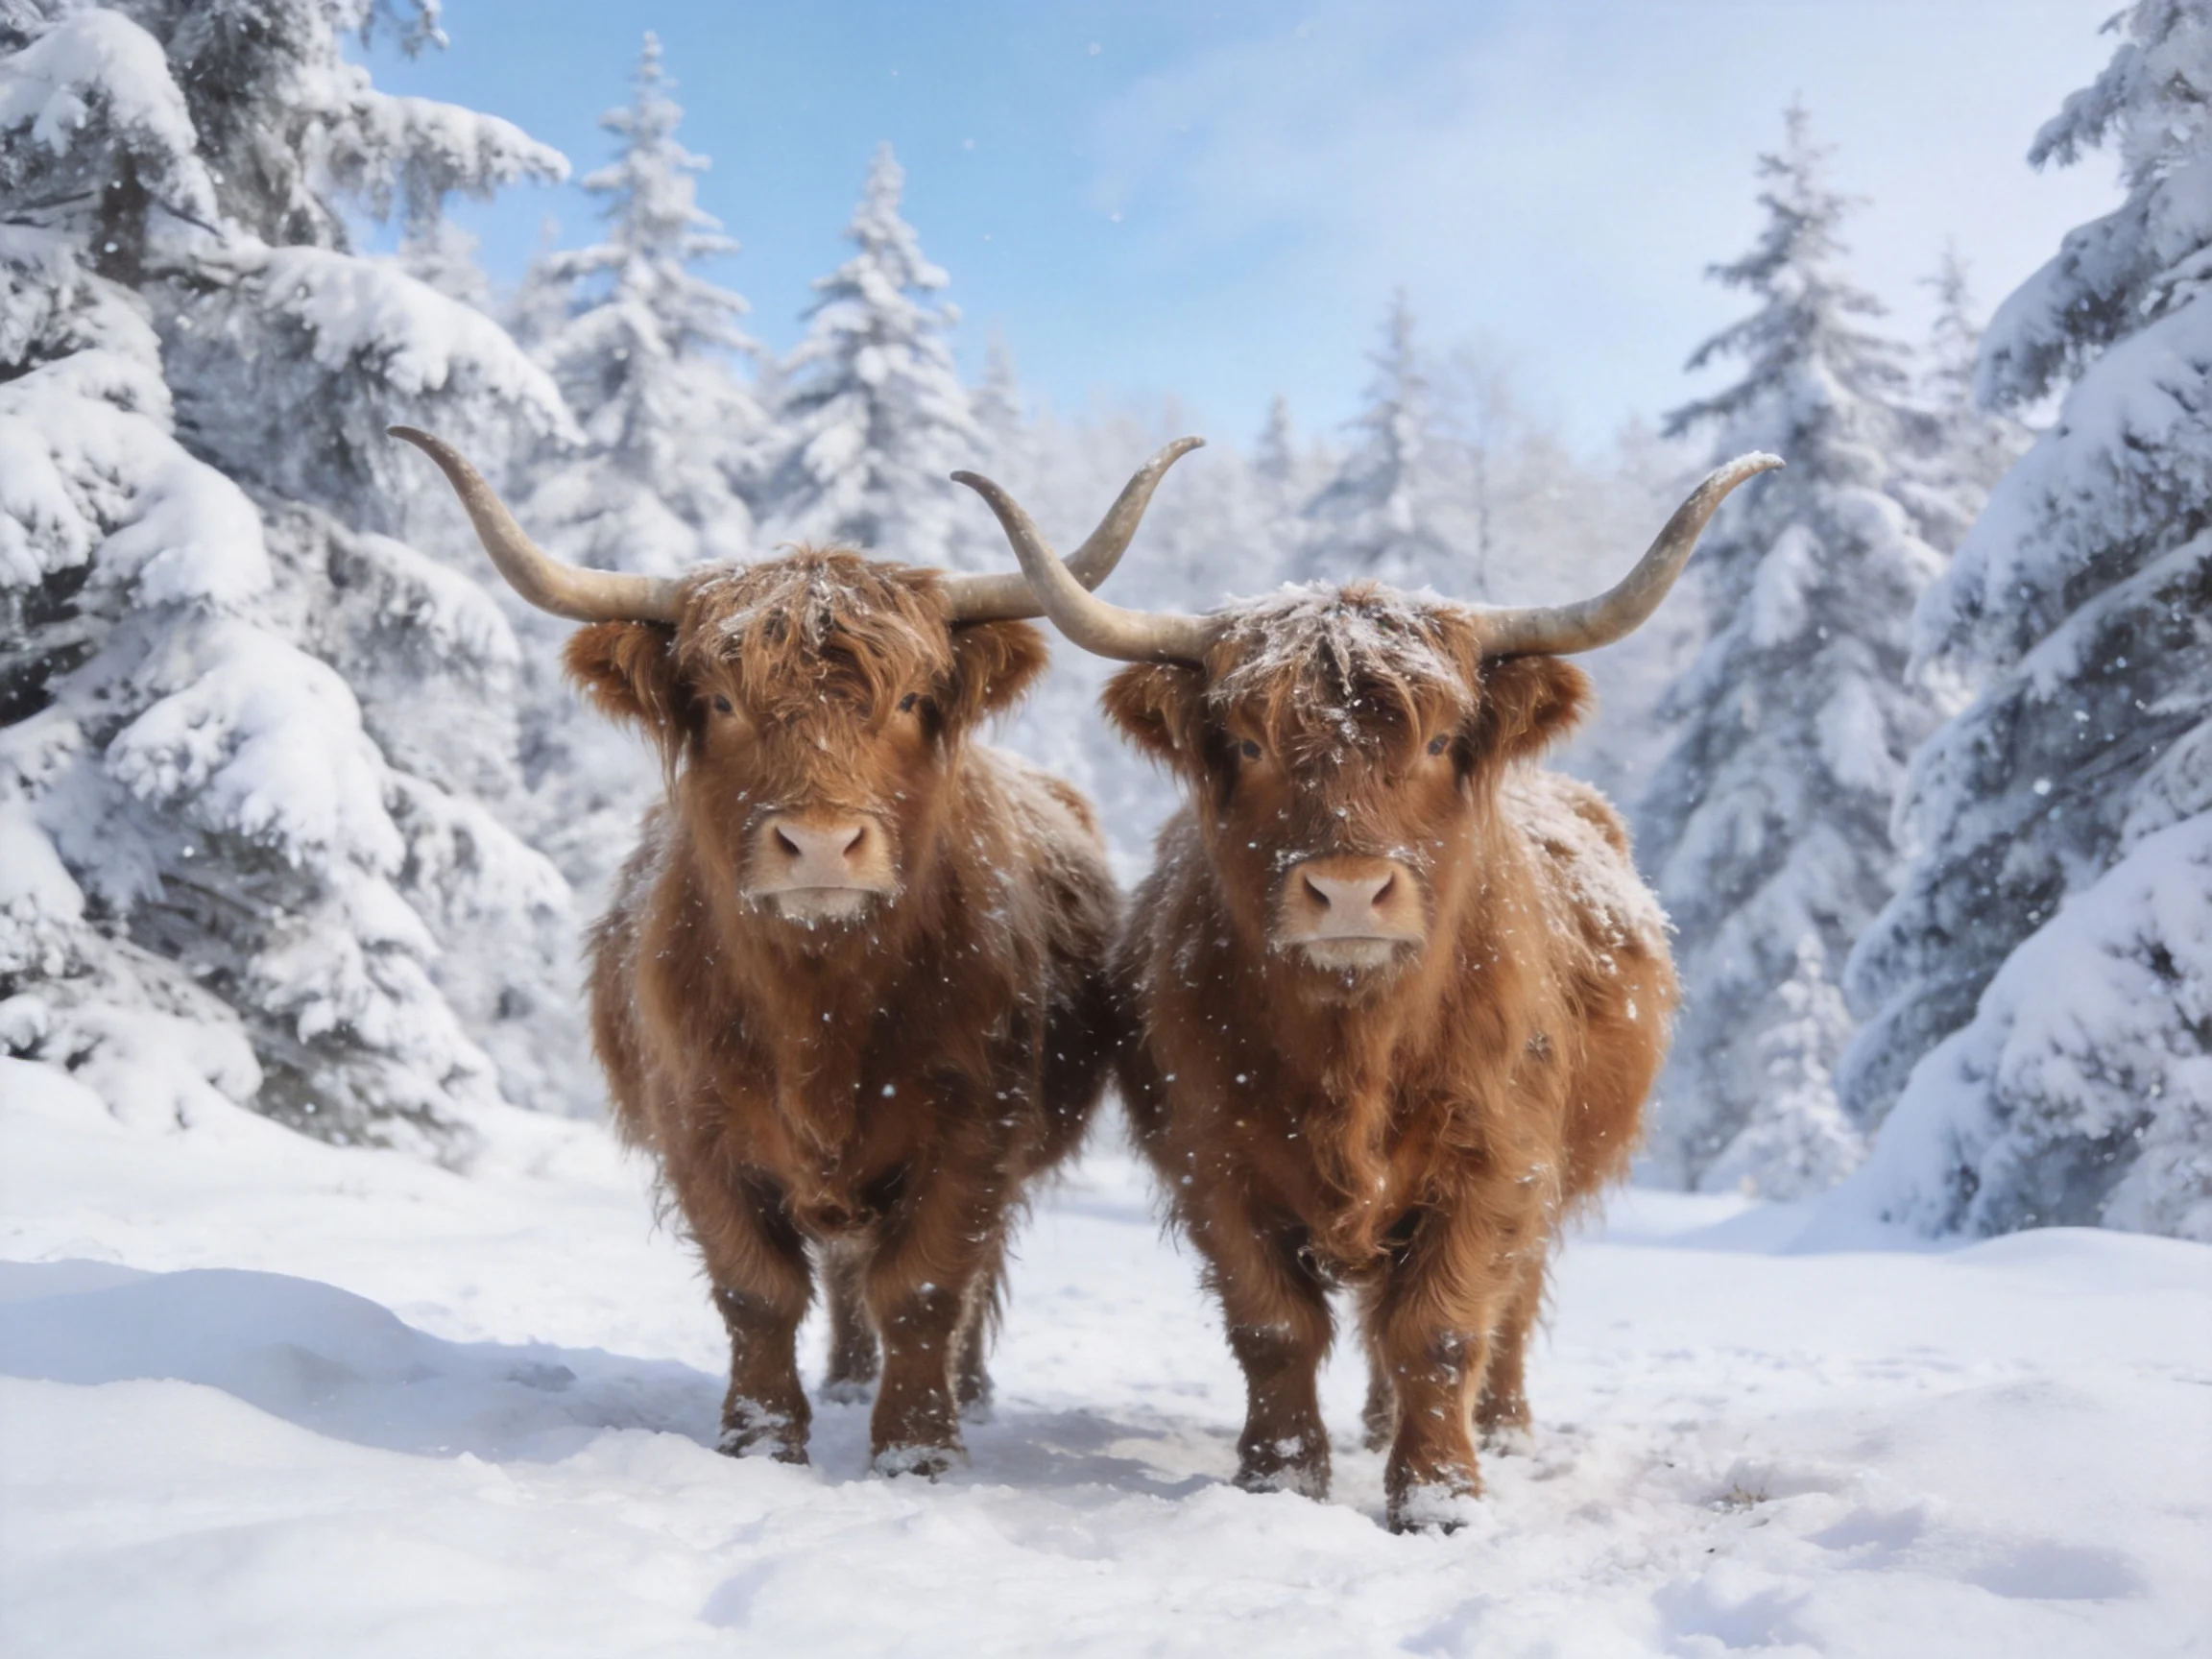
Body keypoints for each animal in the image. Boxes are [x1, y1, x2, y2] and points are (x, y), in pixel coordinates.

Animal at [393, 426, 1200, 1475]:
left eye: (911, 700)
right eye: (721, 702)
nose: (820, 843)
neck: (819, 1006)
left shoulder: (975, 1126)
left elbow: (928, 1287)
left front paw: (918, 1450)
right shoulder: (695, 1124)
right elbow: (756, 1291)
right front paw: (761, 1440)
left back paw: (965, 1394)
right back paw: (850, 1381)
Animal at [956, 451, 1779, 1530]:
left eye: (1436, 743)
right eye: (1250, 744)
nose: (1348, 888)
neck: (1356, 1046)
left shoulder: (1496, 1161)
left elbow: (1442, 1328)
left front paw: (1439, 1495)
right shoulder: (1214, 1159)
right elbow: (1274, 1327)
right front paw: (1280, 1476)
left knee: (1505, 1306)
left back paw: (1497, 1430)